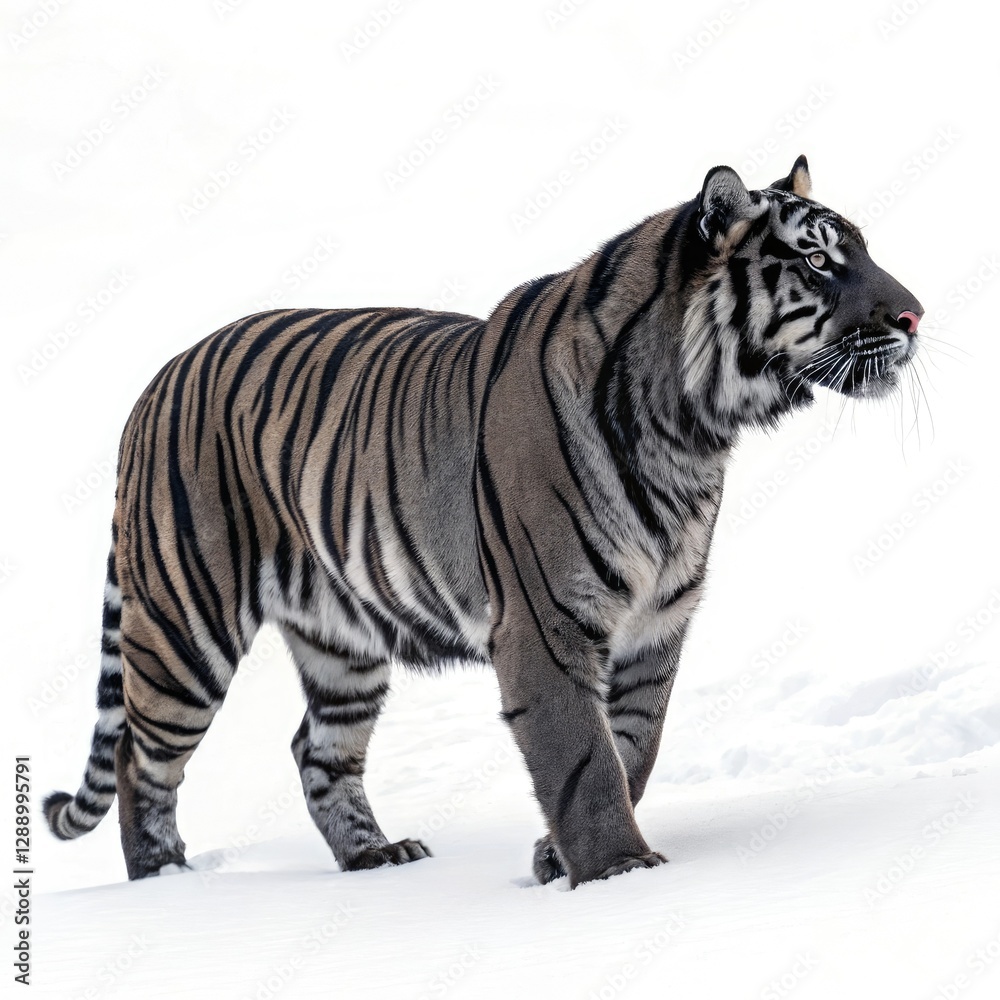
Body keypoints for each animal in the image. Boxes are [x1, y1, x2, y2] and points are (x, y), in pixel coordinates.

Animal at [44, 156, 922, 887]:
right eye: (817, 260)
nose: (914, 316)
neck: (693, 431)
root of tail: (156, 382)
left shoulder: (656, 622)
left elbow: (633, 745)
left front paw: (559, 859)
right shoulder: (545, 620)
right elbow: (583, 756)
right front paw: (621, 872)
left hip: (341, 640)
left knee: (316, 750)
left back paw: (375, 855)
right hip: (186, 627)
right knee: (142, 758)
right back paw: (165, 880)